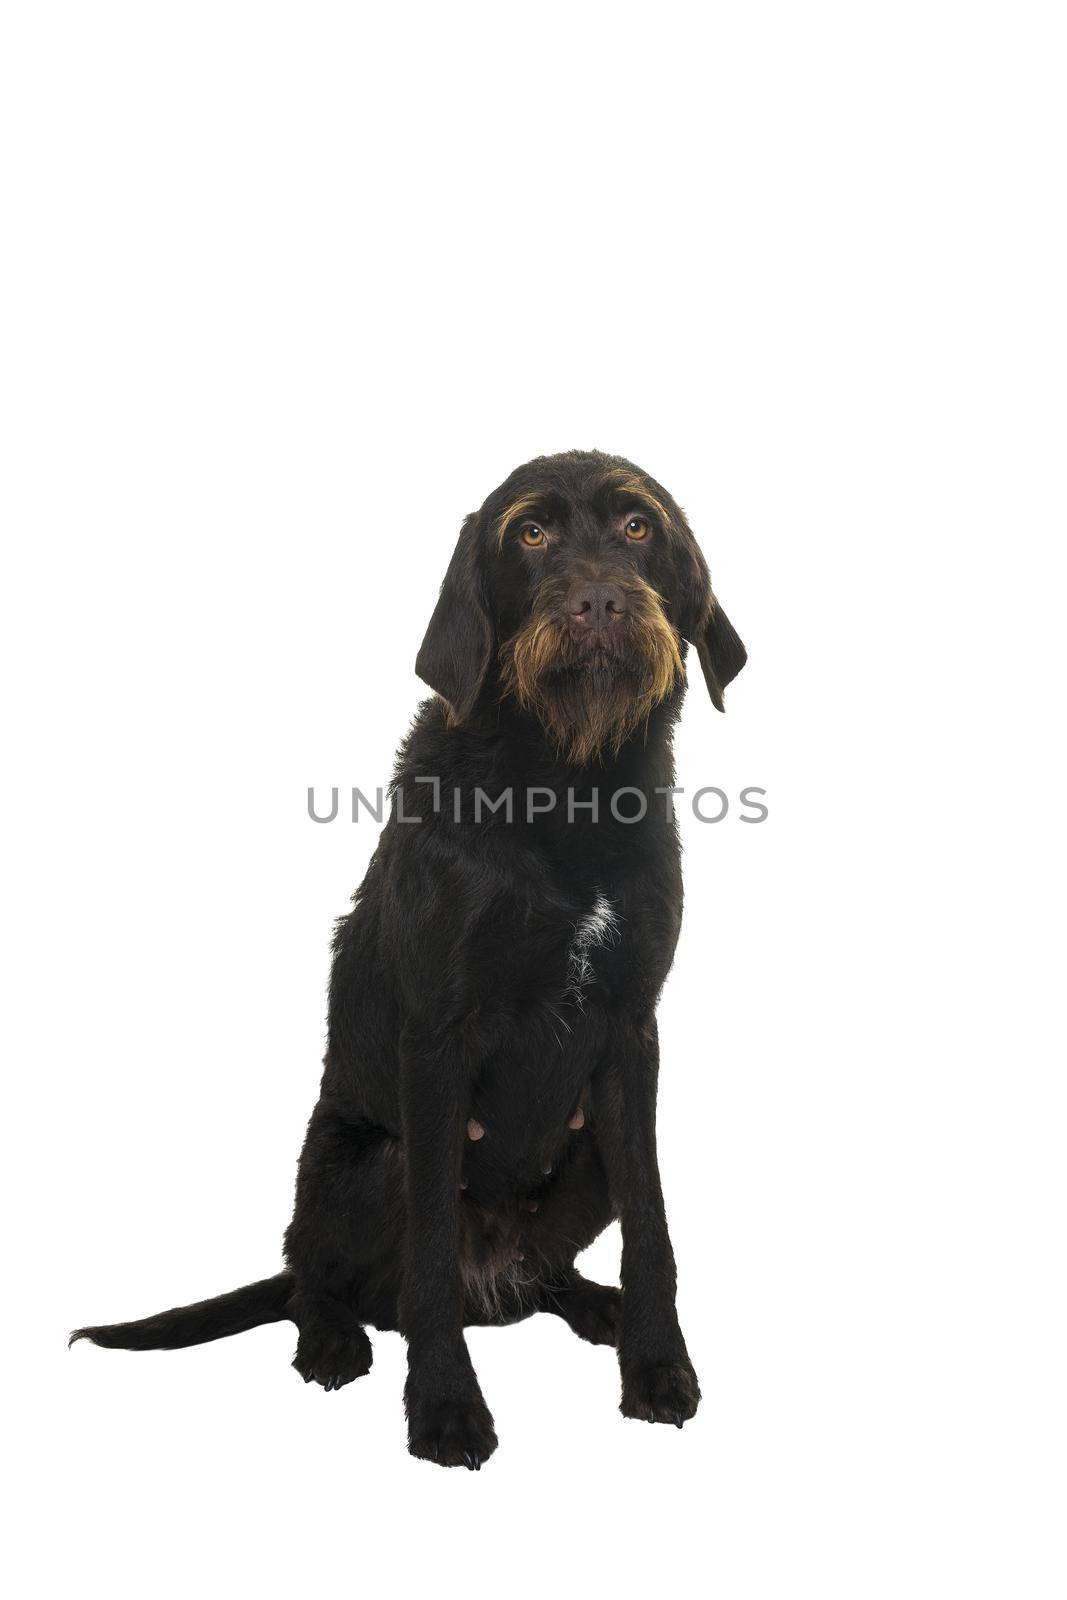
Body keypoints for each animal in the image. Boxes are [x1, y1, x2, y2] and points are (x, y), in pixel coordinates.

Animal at [70, 444, 748, 1465]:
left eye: (637, 527)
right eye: (530, 533)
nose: (598, 602)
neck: (564, 785)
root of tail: (496, 1277)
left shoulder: (632, 1033)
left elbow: (654, 1225)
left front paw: (656, 1365)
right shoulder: (437, 1042)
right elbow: (428, 1254)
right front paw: (444, 1406)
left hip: (581, 1154)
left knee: (542, 1274)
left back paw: (590, 1304)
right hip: (365, 1162)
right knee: (318, 1276)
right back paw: (331, 1339)